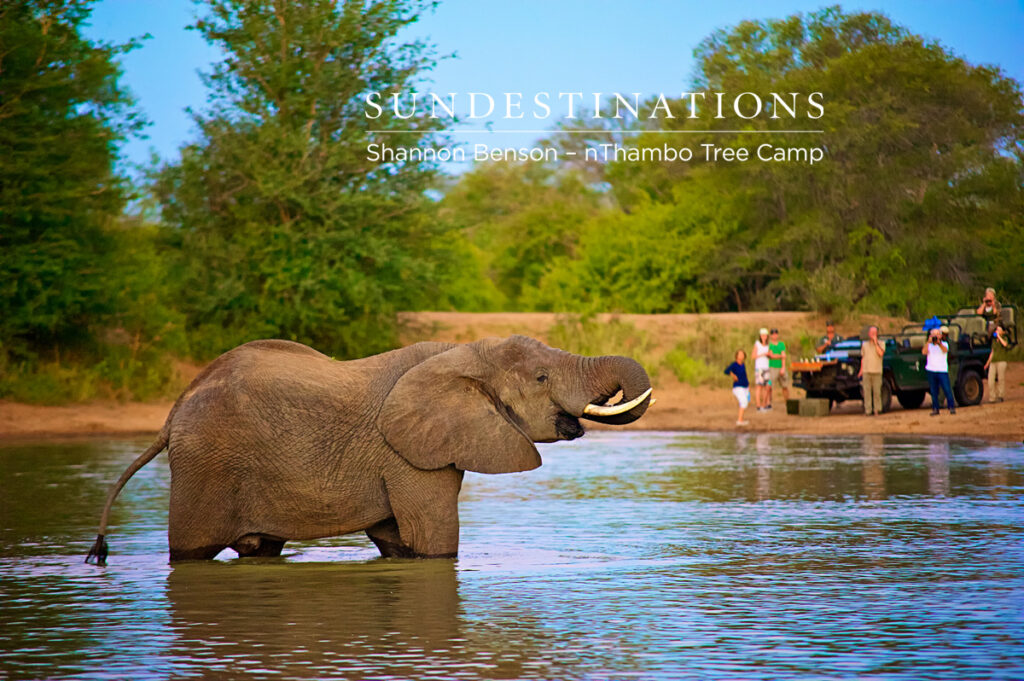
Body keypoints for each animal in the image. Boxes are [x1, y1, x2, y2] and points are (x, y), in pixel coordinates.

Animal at [85, 335, 652, 564]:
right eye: (540, 378)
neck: (462, 352)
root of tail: (173, 411)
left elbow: (396, 538)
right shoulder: (406, 453)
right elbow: (434, 538)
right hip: (206, 466)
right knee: (191, 551)